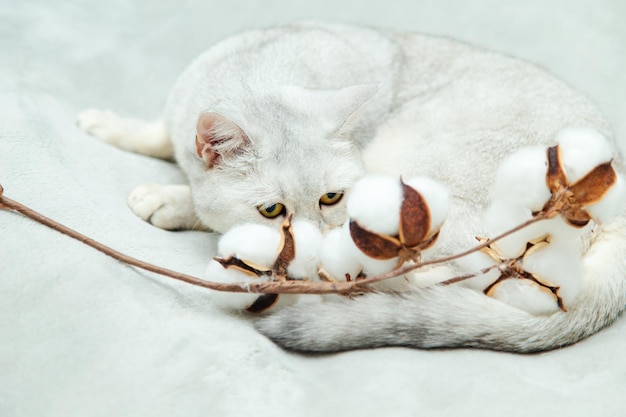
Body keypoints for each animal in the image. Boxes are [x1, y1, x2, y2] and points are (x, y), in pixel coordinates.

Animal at [78, 20, 624, 352]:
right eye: (272, 210)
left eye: (331, 198)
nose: (310, 243)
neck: (263, 73)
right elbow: (158, 133)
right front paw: (110, 125)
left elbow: (196, 201)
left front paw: (166, 199)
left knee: (429, 278)